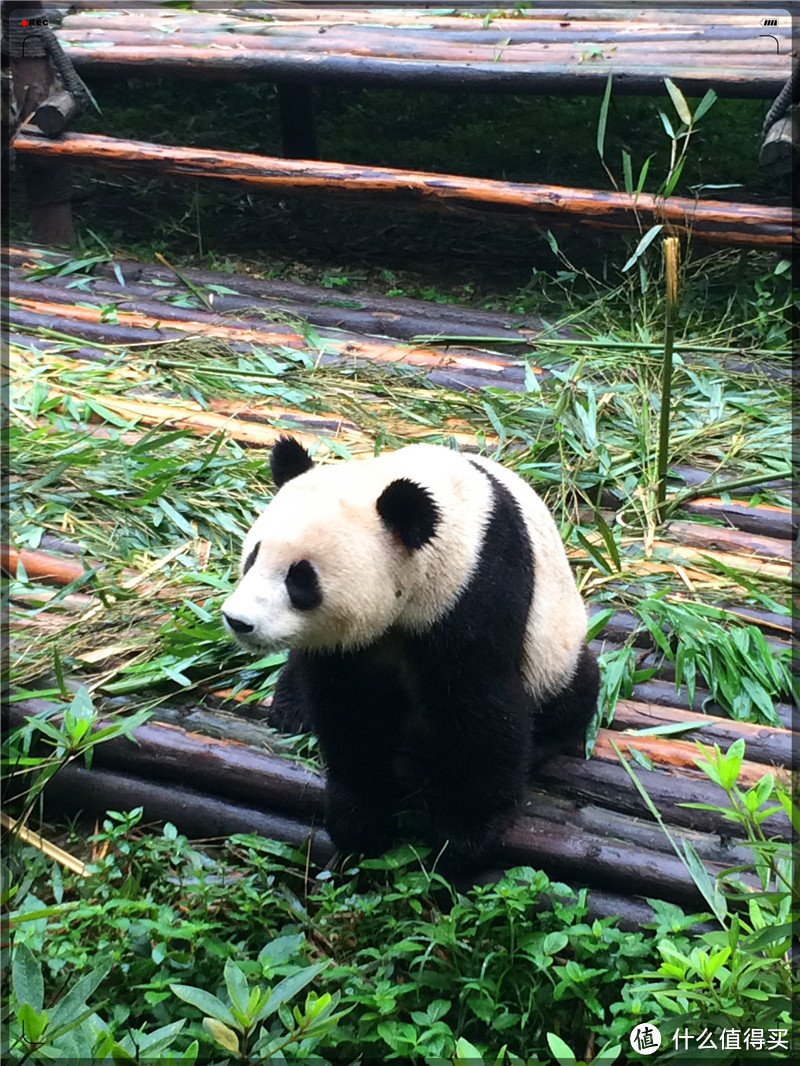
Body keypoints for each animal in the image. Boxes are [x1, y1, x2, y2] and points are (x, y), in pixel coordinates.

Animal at [222, 434, 597, 874]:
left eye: (301, 579)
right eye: (252, 557)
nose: (239, 621)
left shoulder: (476, 586)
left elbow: (481, 706)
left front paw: (463, 833)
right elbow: (349, 708)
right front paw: (361, 818)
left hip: (556, 647)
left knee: (574, 690)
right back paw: (290, 707)